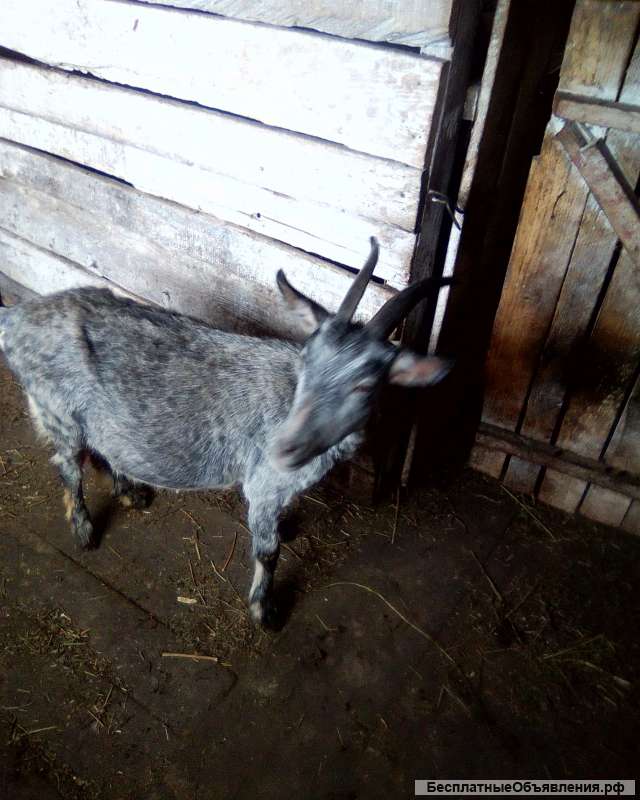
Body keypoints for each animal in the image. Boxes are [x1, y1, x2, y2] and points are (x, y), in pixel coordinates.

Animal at [0, 238, 451, 625]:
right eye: (306, 358)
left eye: (364, 384)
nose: (283, 449)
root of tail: (16, 318)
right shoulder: (264, 485)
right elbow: (268, 552)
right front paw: (264, 611)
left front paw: (287, 529)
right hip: (56, 409)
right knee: (68, 465)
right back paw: (84, 529)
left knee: (101, 448)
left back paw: (129, 492)